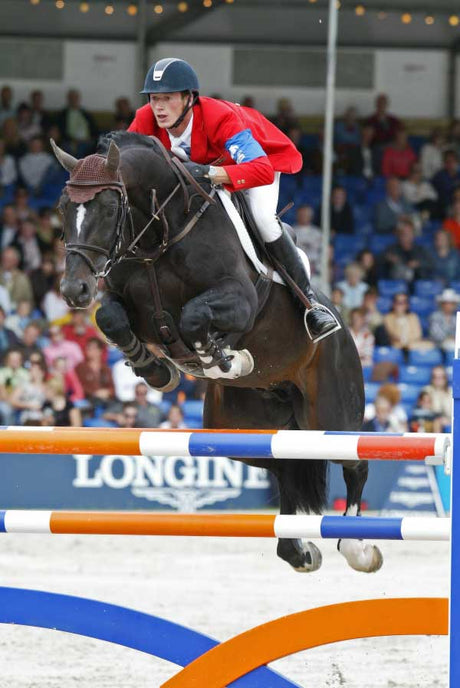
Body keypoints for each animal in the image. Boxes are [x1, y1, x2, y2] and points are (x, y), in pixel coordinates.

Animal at [52, 132, 382, 572]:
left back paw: (358, 547)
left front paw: (221, 359)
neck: (161, 236)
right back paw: (298, 550)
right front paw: (158, 370)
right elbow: (110, 317)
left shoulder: (239, 300)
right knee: (284, 465)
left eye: (107, 208)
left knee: (355, 462)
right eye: (63, 207)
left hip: (331, 414)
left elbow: (194, 317)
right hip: (244, 428)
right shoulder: (126, 304)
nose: (75, 290)